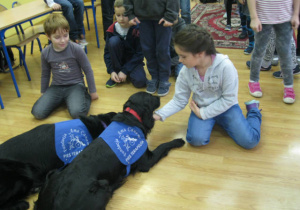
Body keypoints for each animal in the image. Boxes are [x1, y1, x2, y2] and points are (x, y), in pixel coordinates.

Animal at [35, 92, 185, 210]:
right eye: (150, 96)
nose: (159, 97)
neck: (131, 118)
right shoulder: (146, 160)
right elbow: (163, 146)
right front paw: (179, 141)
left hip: (53, 173)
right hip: (102, 188)